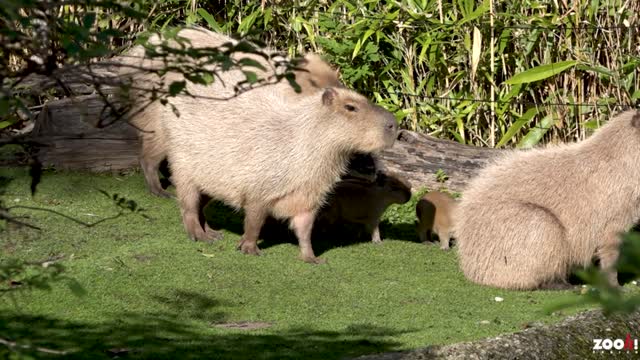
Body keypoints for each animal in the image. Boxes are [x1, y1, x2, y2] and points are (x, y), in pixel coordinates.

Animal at [452, 109, 640, 290]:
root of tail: (470, 270)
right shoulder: (614, 220)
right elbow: (610, 255)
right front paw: (617, 288)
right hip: (543, 224)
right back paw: (567, 286)